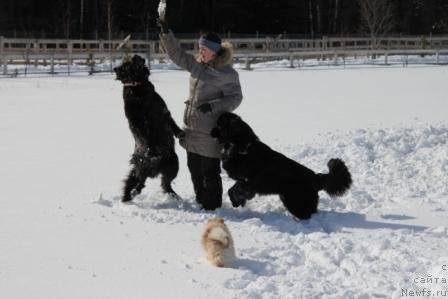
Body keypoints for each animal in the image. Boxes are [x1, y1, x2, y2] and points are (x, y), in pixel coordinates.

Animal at [114, 55, 184, 203]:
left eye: (126, 64)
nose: (137, 56)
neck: (135, 86)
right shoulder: (162, 112)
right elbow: (171, 125)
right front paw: (180, 133)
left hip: (165, 166)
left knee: (153, 183)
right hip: (155, 167)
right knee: (149, 184)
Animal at [210, 112, 354, 220]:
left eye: (219, 125)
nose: (211, 131)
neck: (242, 146)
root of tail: (315, 178)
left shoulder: (249, 182)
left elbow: (236, 190)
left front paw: (237, 200)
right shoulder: (243, 180)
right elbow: (233, 190)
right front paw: (238, 201)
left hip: (295, 200)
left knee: (307, 213)